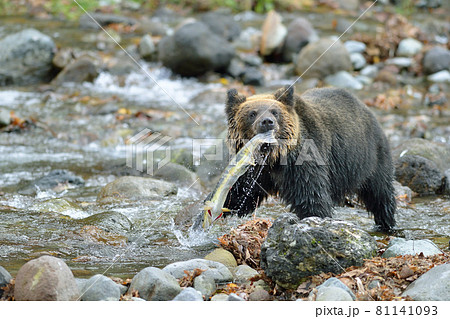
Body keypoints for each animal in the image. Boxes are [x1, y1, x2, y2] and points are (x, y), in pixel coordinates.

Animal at [223, 87, 396, 232]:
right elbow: (238, 194)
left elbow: (311, 197)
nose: (267, 122)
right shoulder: (253, 171)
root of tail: (366, 108)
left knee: (380, 192)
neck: (273, 158)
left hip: (371, 156)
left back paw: (386, 223)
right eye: (252, 113)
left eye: (274, 111)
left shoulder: (303, 161)